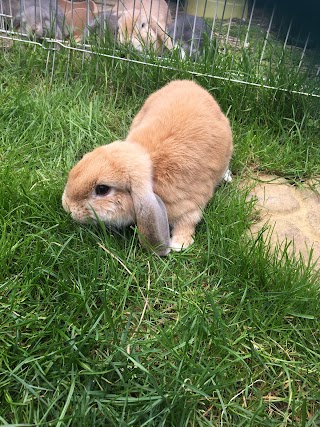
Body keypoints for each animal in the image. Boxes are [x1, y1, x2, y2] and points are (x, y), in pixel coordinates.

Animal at [62, 79, 232, 256]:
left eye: (102, 189)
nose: (67, 207)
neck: (153, 170)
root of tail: (189, 83)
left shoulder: (190, 204)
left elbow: (188, 222)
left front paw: (179, 244)